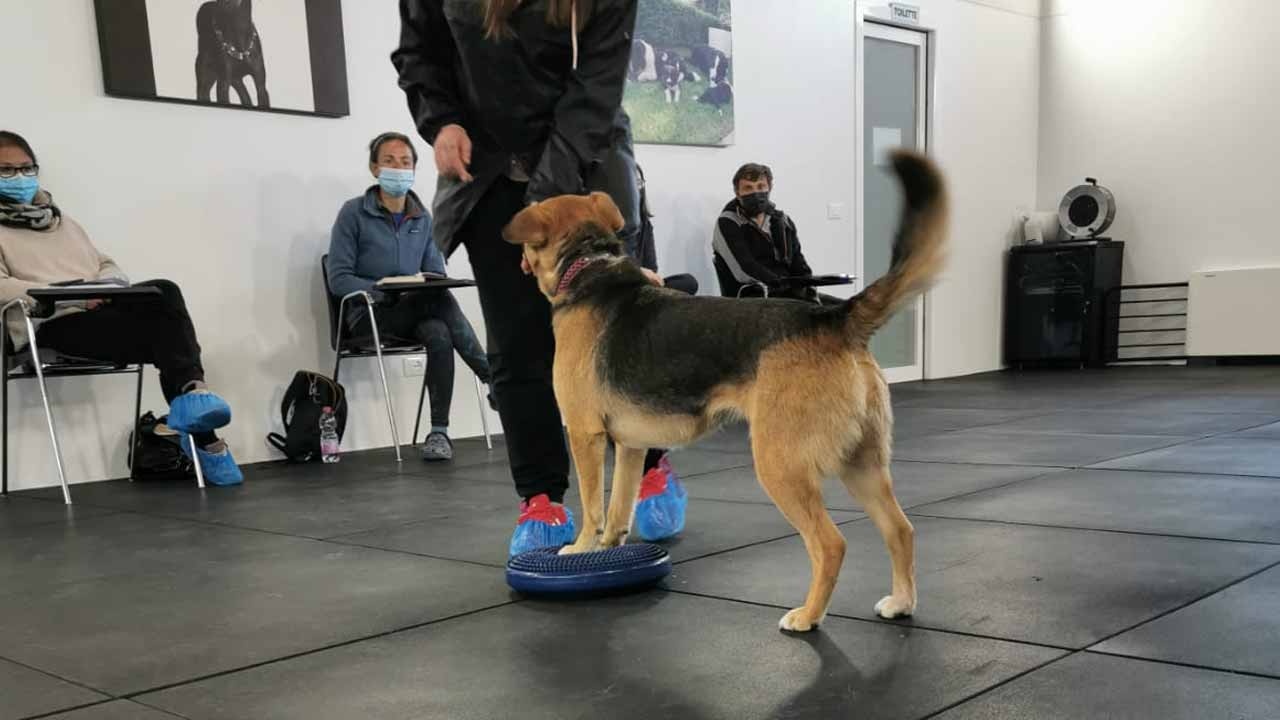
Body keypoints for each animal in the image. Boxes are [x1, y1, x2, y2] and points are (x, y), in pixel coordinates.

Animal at [503, 151, 947, 632]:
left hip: (780, 465)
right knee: (900, 530)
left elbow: (591, 507)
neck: (590, 267)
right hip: (861, 463)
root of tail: (833, 320)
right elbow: (618, 510)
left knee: (831, 544)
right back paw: (901, 602)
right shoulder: (630, 447)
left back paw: (808, 615)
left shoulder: (585, 435)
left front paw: (581, 548)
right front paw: (605, 552)